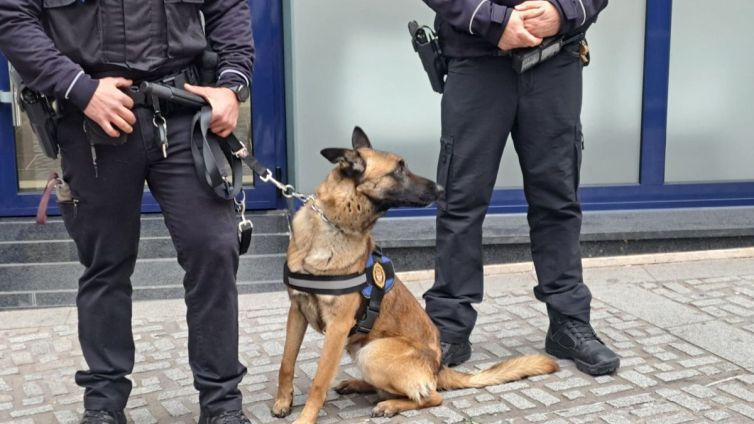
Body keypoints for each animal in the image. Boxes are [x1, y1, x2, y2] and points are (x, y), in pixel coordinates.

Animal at [272, 127, 560, 422]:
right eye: (398, 170)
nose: (442, 189)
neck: (333, 227)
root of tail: (438, 368)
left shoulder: (338, 328)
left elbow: (319, 380)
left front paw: (305, 418)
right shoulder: (297, 312)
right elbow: (286, 362)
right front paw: (283, 401)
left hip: (372, 351)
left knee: (430, 396)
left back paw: (389, 405)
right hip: (360, 347)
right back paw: (359, 384)